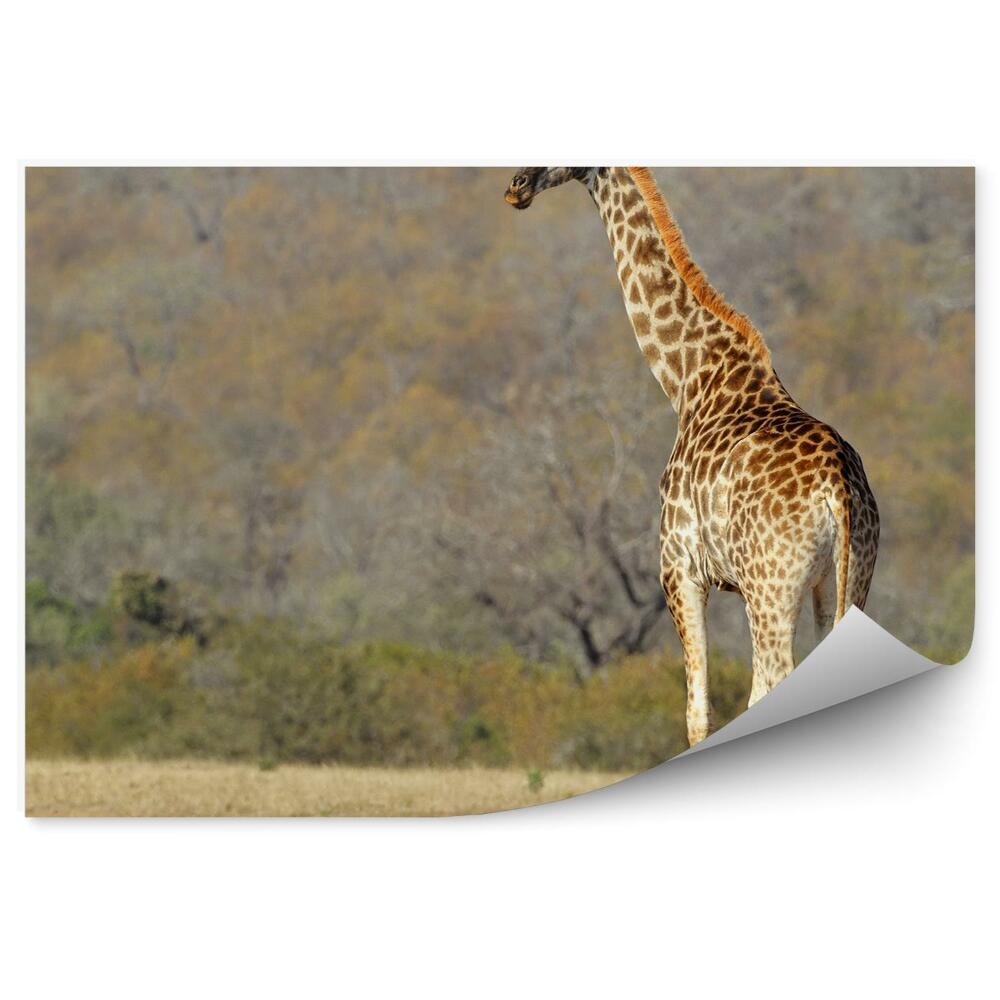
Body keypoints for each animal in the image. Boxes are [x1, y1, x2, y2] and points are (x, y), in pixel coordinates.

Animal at [505, 167, 879, 746]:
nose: (515, 186)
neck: (687, 379)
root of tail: (836, 489)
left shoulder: (679, 569)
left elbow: (698, 712)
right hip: (848, 576)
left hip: (771, 587)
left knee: (770, 685)